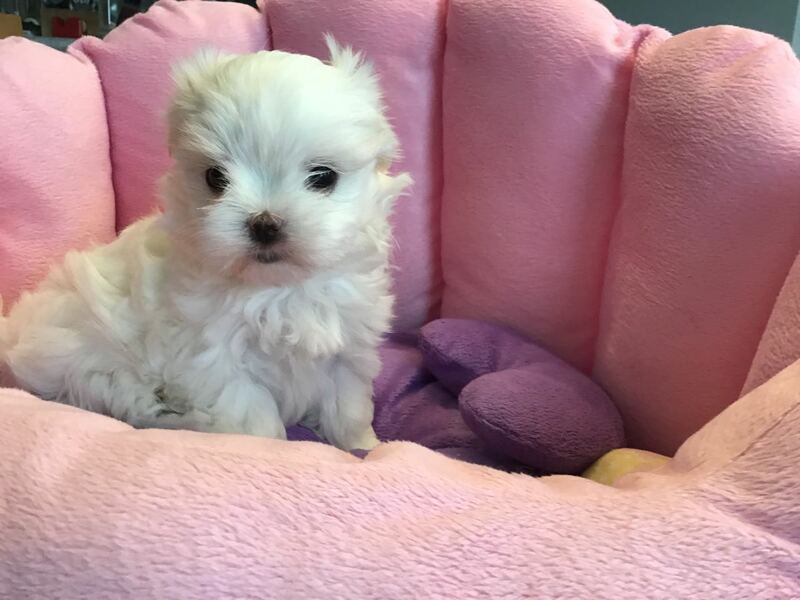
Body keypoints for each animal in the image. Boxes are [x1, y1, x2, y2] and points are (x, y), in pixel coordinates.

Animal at [0, 38, 410, 451]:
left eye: (323, 177)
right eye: (216, 177)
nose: (264, 223)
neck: (279, 288)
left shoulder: (349, 347)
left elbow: (348, 406)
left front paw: (364, 447)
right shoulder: (218, 362)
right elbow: (257, 418)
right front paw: (270, 449)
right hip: (92, 364)